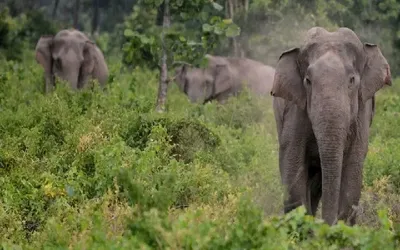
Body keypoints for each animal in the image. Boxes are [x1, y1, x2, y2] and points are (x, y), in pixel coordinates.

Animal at [272, 26, 390, 226]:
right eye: (308, 81)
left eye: (352, 80)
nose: (327, 224)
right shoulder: (296, 109)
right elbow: (293, 160)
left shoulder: (362, 111)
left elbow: (353, 167)